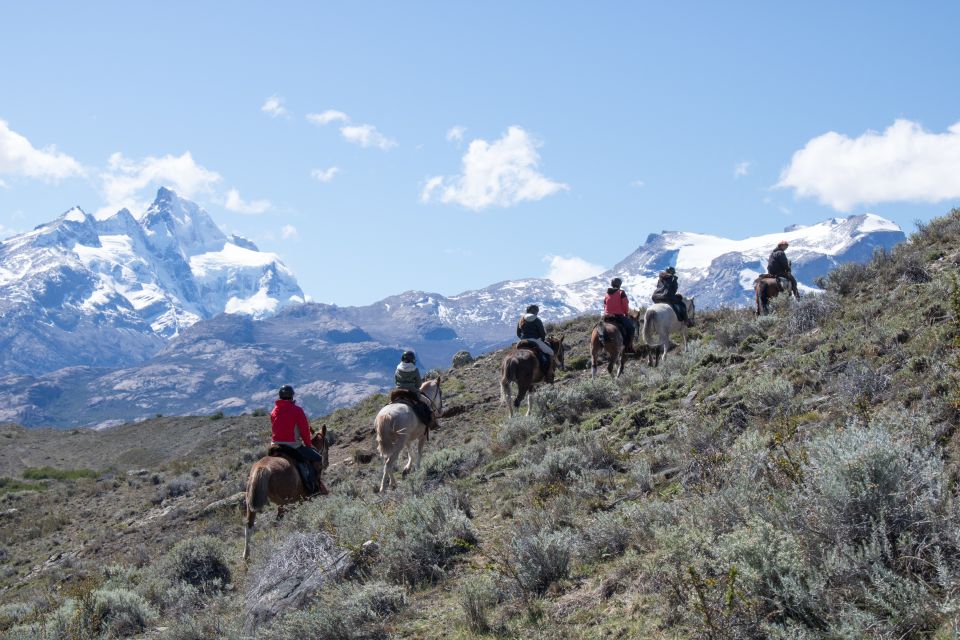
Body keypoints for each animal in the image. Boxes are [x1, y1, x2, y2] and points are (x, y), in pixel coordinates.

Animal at [242, 428, 328, 564]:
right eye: (327, 444)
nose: (327, 462)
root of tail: (262, 468)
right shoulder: (306, 498)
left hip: (251, 504)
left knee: (249, 526)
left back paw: (247, 557)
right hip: (285, 503)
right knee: (279, 521)